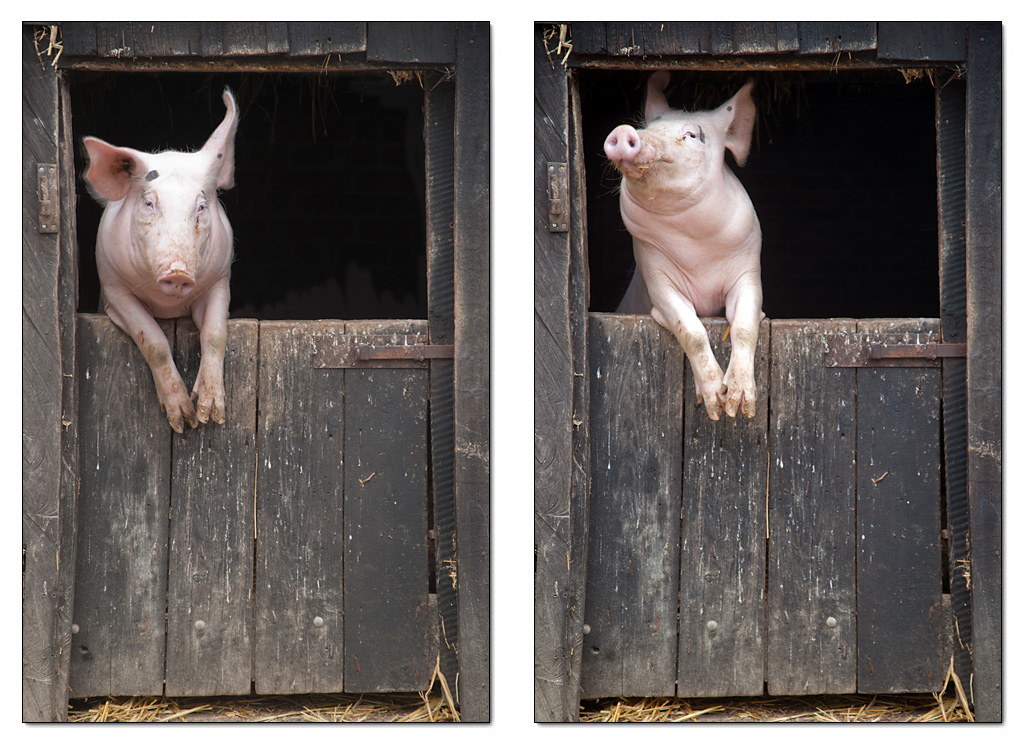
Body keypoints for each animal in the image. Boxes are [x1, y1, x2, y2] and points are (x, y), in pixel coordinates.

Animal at [83, 89, 238, 433]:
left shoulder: (220, 280)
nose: (178, 272)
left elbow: (215, 335)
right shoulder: (113, 288)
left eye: (201, 207)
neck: (169, 306)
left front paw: (209, 414)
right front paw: (182, 420)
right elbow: (153, 340)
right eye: (149, 203)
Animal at [604, 72, 762, 420]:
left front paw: (738, 407)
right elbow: (691, 330)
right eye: (649, 125)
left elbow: (745, 325)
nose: (623, 131)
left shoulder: (748, 271)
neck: (697, 250)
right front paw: (715, 404)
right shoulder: (656, 276)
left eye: (692, 134)